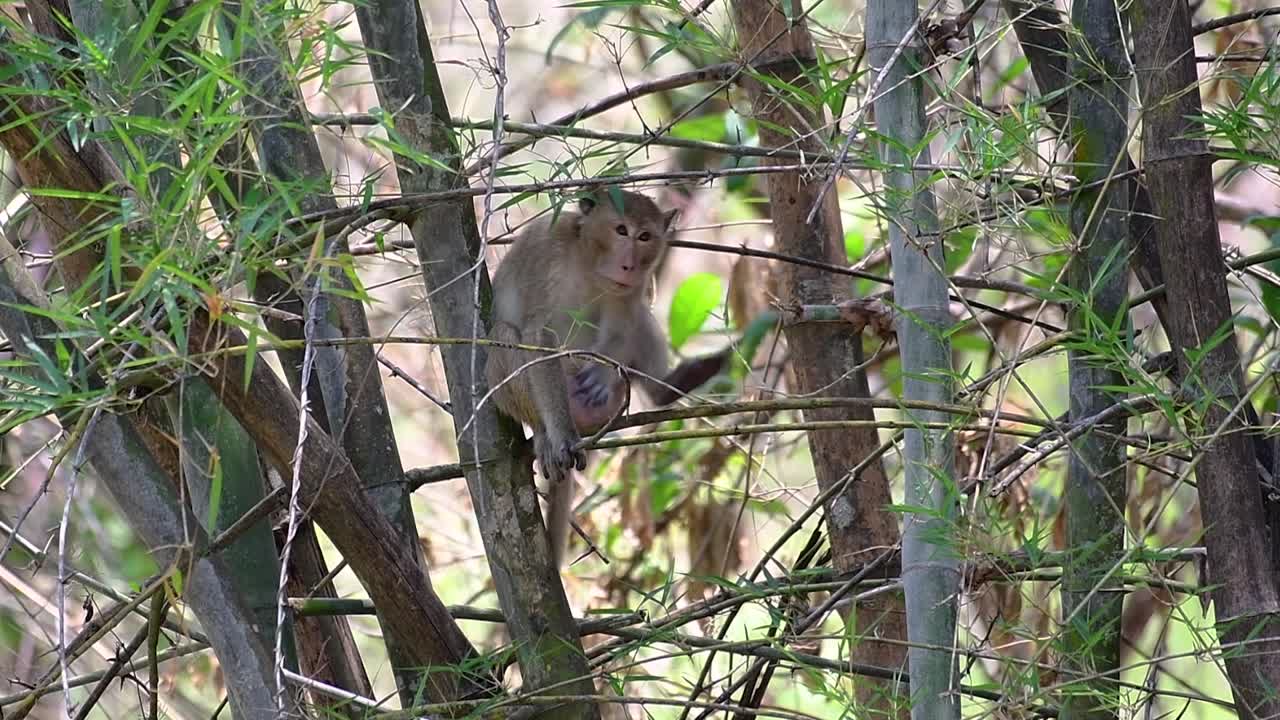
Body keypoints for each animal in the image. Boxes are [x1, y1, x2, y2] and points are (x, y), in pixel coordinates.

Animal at [485, 189, 683, 565]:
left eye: (645, 236)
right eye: (621, 230)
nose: (629, 265)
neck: (589, 263)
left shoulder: (633, 287)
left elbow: (624, 326)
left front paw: (603, 376)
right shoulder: (548, 251)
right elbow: (538, 335)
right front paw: (560, 436)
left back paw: (670, 391)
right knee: (503, 335)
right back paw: (546, 433)